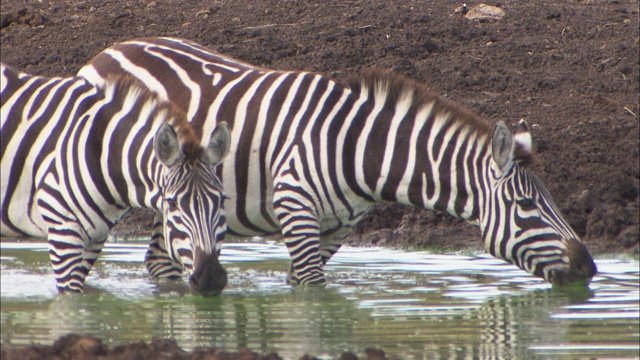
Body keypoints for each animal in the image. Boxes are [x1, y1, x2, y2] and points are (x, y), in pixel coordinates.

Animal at [1, 63, 231, 294]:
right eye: (172, 203)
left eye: (221, 200)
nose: (211, 278)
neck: (103, 154)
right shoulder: (62, 229)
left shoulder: (95, 236)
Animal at [77, 36, 596, 286]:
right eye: (527, 207)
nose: (590, 268)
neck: (359, 150)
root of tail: (108, 51)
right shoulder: (295, 206)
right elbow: (313, 290)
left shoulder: (338, 226)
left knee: (158, 260)